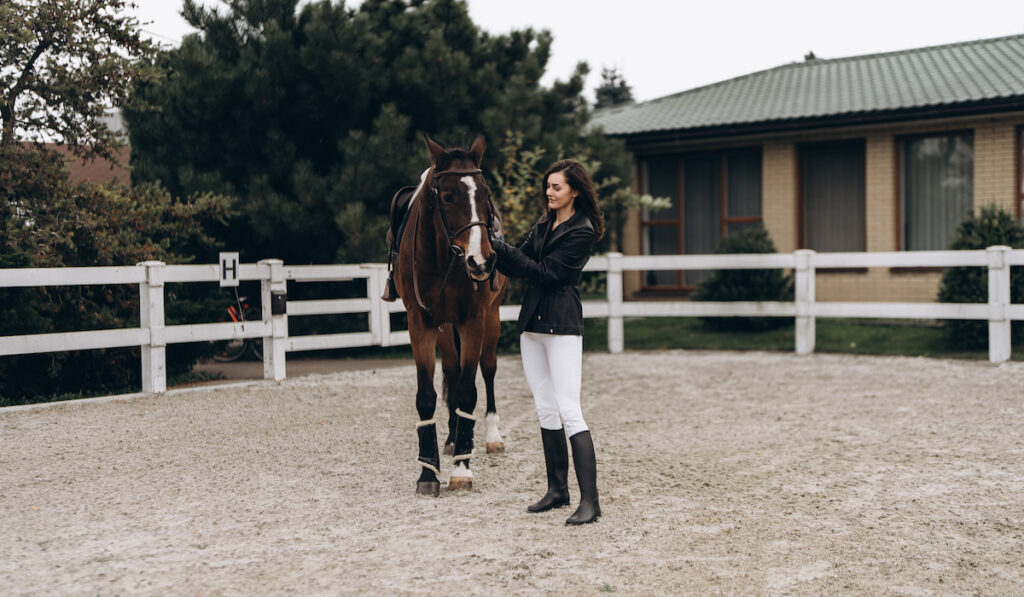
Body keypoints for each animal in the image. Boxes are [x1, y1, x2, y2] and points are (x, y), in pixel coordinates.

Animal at [397, 133, 509, 497]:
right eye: (447, 196)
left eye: (486, 194)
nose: (482, 260)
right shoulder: (421, 324)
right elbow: (428, 396)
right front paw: (428, 472)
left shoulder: (473, 320)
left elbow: (468, 391)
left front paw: (462, 469)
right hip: (446, 329)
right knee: (452, 369)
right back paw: (451, 438)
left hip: (492, 318)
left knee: (487, 370)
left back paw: (490, 436)